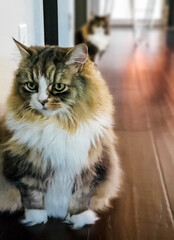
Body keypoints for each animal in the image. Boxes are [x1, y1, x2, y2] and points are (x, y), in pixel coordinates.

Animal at [0, 39, 121, 229]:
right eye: (32, 85)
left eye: (58, 86)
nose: (42, 101)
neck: (56, 124)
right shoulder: (26, 164)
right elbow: (32, 193)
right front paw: (37, 218)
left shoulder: (88, 166)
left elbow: (81, 195)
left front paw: (79, 218)